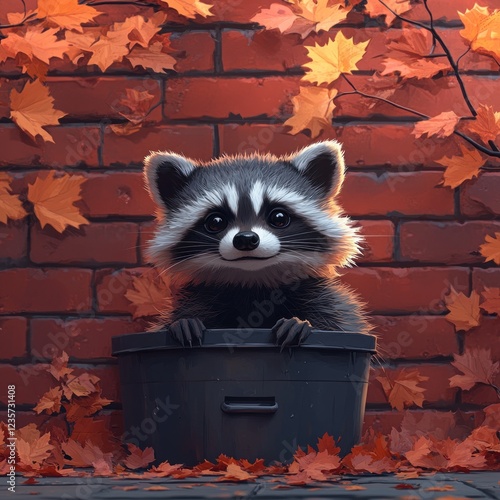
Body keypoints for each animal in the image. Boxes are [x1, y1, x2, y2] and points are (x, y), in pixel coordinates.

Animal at [143, 141, 370, 348]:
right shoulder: (200, 297)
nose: (245, 239)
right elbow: (179, 317)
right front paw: (185, 323)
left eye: (279, 217)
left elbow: (339, 323)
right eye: (216, 221)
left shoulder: (321, 297)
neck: (252, 280)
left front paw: (300, 323)